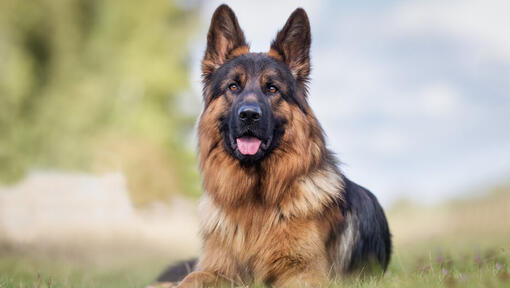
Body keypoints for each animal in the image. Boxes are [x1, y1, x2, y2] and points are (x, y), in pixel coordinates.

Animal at [154, 4, 390, 288]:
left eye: (272, 89)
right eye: (233, 86)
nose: (249, 115)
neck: (255, 202)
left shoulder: (304, 273)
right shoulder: (217, 269)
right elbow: (191, 278)